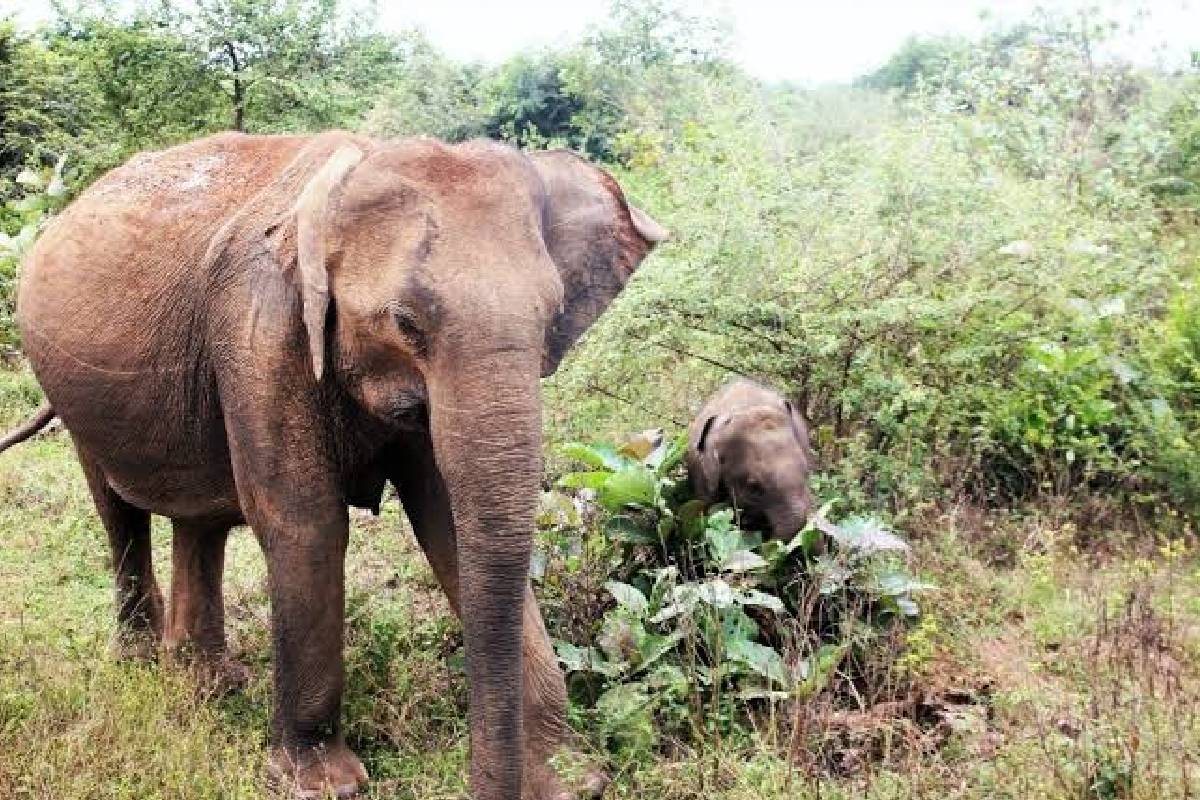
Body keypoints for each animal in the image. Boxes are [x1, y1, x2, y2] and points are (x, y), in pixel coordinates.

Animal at [2, 130, 667, 799]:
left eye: (553, 317)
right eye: (405, 322)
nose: (478, 783)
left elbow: (448, 527)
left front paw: (570, 778)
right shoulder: (260, 332)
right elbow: (307, 524)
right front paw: (322, 784)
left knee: (200, 522)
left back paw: (204, 683)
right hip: (71, 392)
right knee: (118, 512)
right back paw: (144, 666)